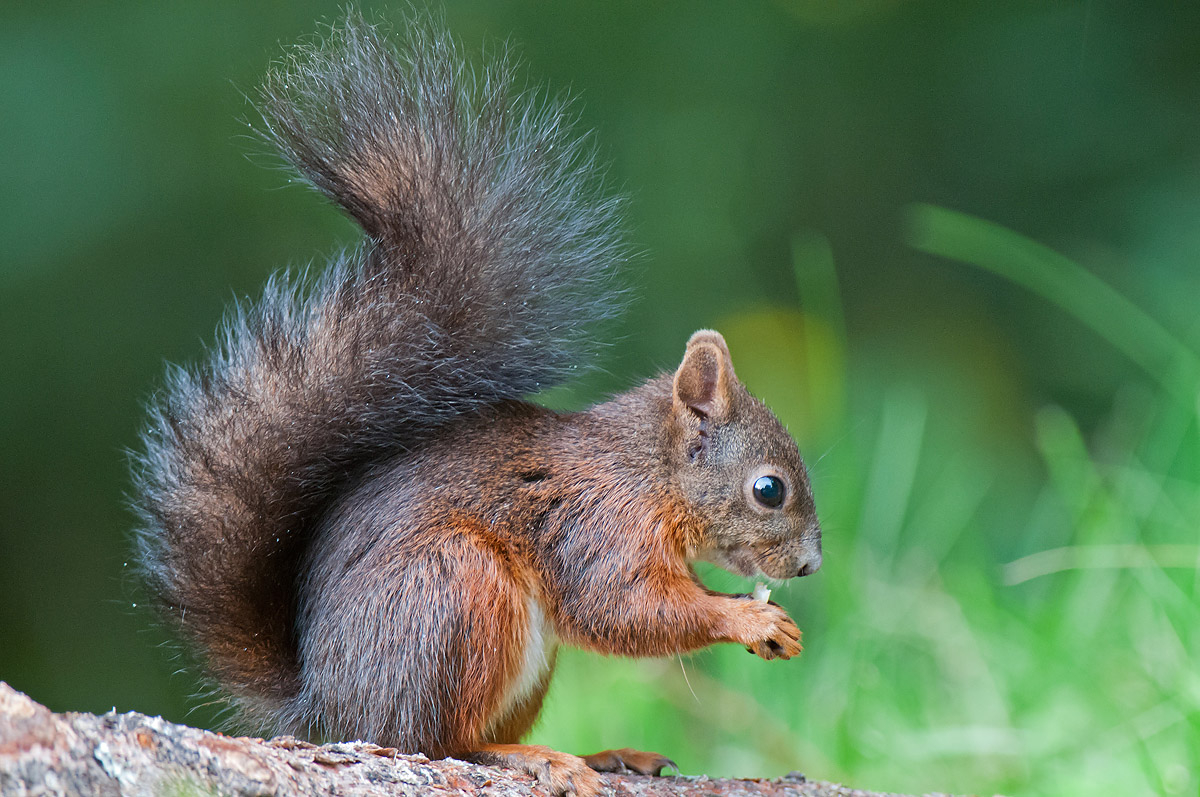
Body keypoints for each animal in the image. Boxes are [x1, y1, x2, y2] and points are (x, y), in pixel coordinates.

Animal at [132, 12, 822, 797]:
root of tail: (327, 706)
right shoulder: (596, 526)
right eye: (769, 489)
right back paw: (531, 757)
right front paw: (748, 620)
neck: (648, 472)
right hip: (458, 593)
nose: (809, 567)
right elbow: (624, 607)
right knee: (437, 741)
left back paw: (601, 753)